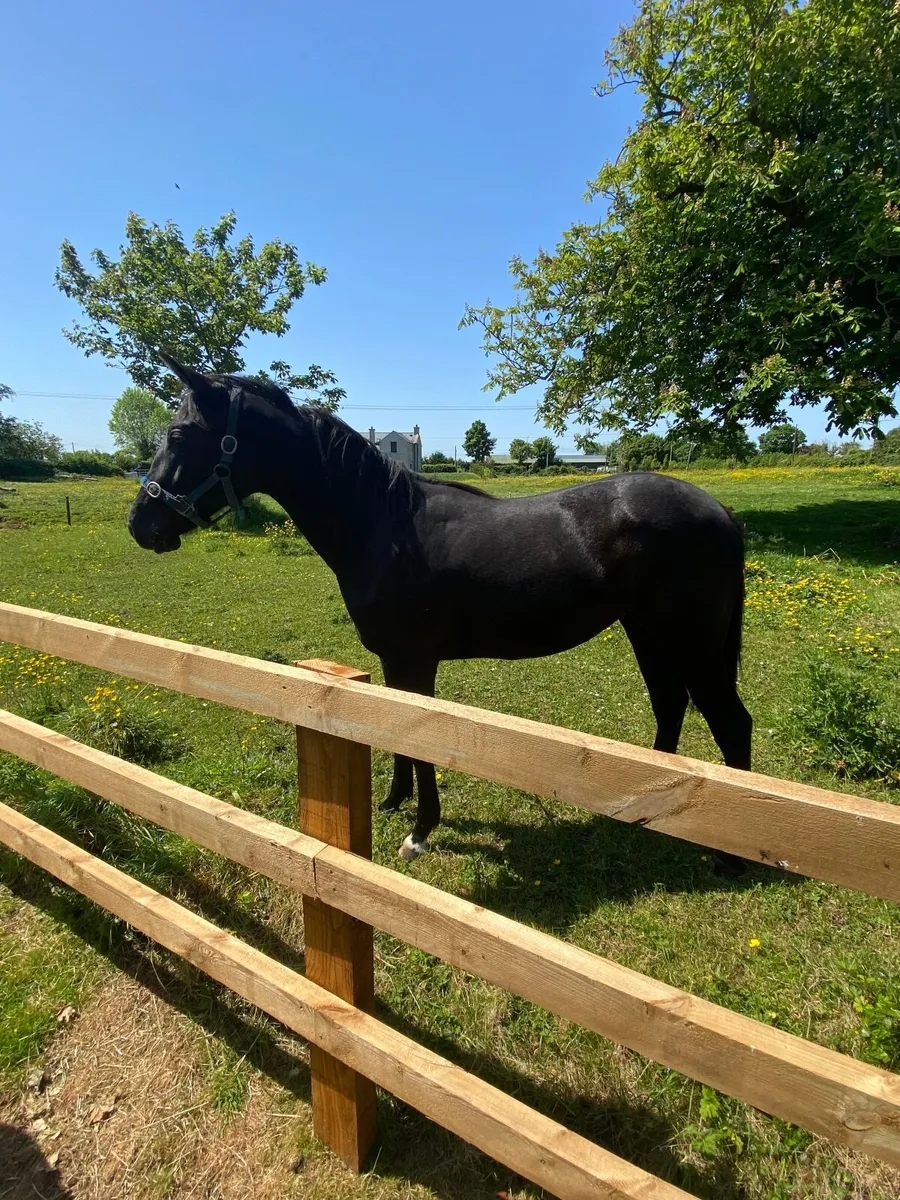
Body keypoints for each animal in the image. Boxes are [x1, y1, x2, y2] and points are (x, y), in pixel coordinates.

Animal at [128, 357, 752, 871]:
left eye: (180, 434)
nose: (142, 524)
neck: (383, 525)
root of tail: (721, 511)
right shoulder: (393, 661)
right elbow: (395, 734)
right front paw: (391, 802)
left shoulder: (416, 660)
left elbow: (418, 741)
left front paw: (420, 832)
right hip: (649, 633)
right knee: (670, 706)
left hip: (690, 643)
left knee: (729, 722)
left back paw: (732, 859)